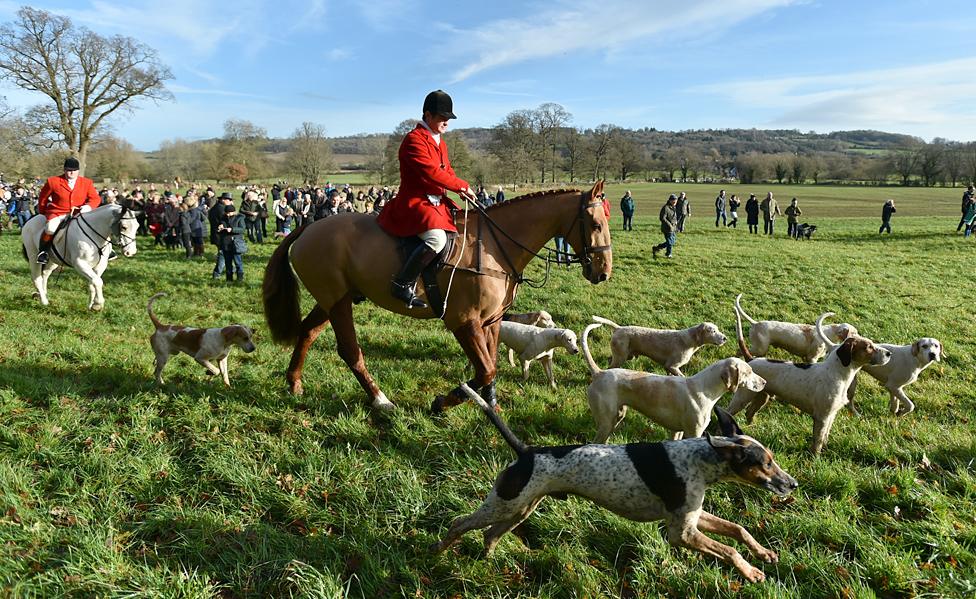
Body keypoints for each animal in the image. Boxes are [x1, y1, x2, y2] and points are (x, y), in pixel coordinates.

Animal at [260, 182, 608, 412]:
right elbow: (485, 369)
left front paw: (491, 406)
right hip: (339, 302)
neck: (493, 247)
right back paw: (379, 399)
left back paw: (294, 383)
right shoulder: (463, 322)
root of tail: (308, 228)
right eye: (594, 224)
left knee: (308, 332)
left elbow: (491, 365)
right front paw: (443, 402)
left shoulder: (491, 321)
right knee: (350, 351)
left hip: (332, 300)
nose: (603, 272)